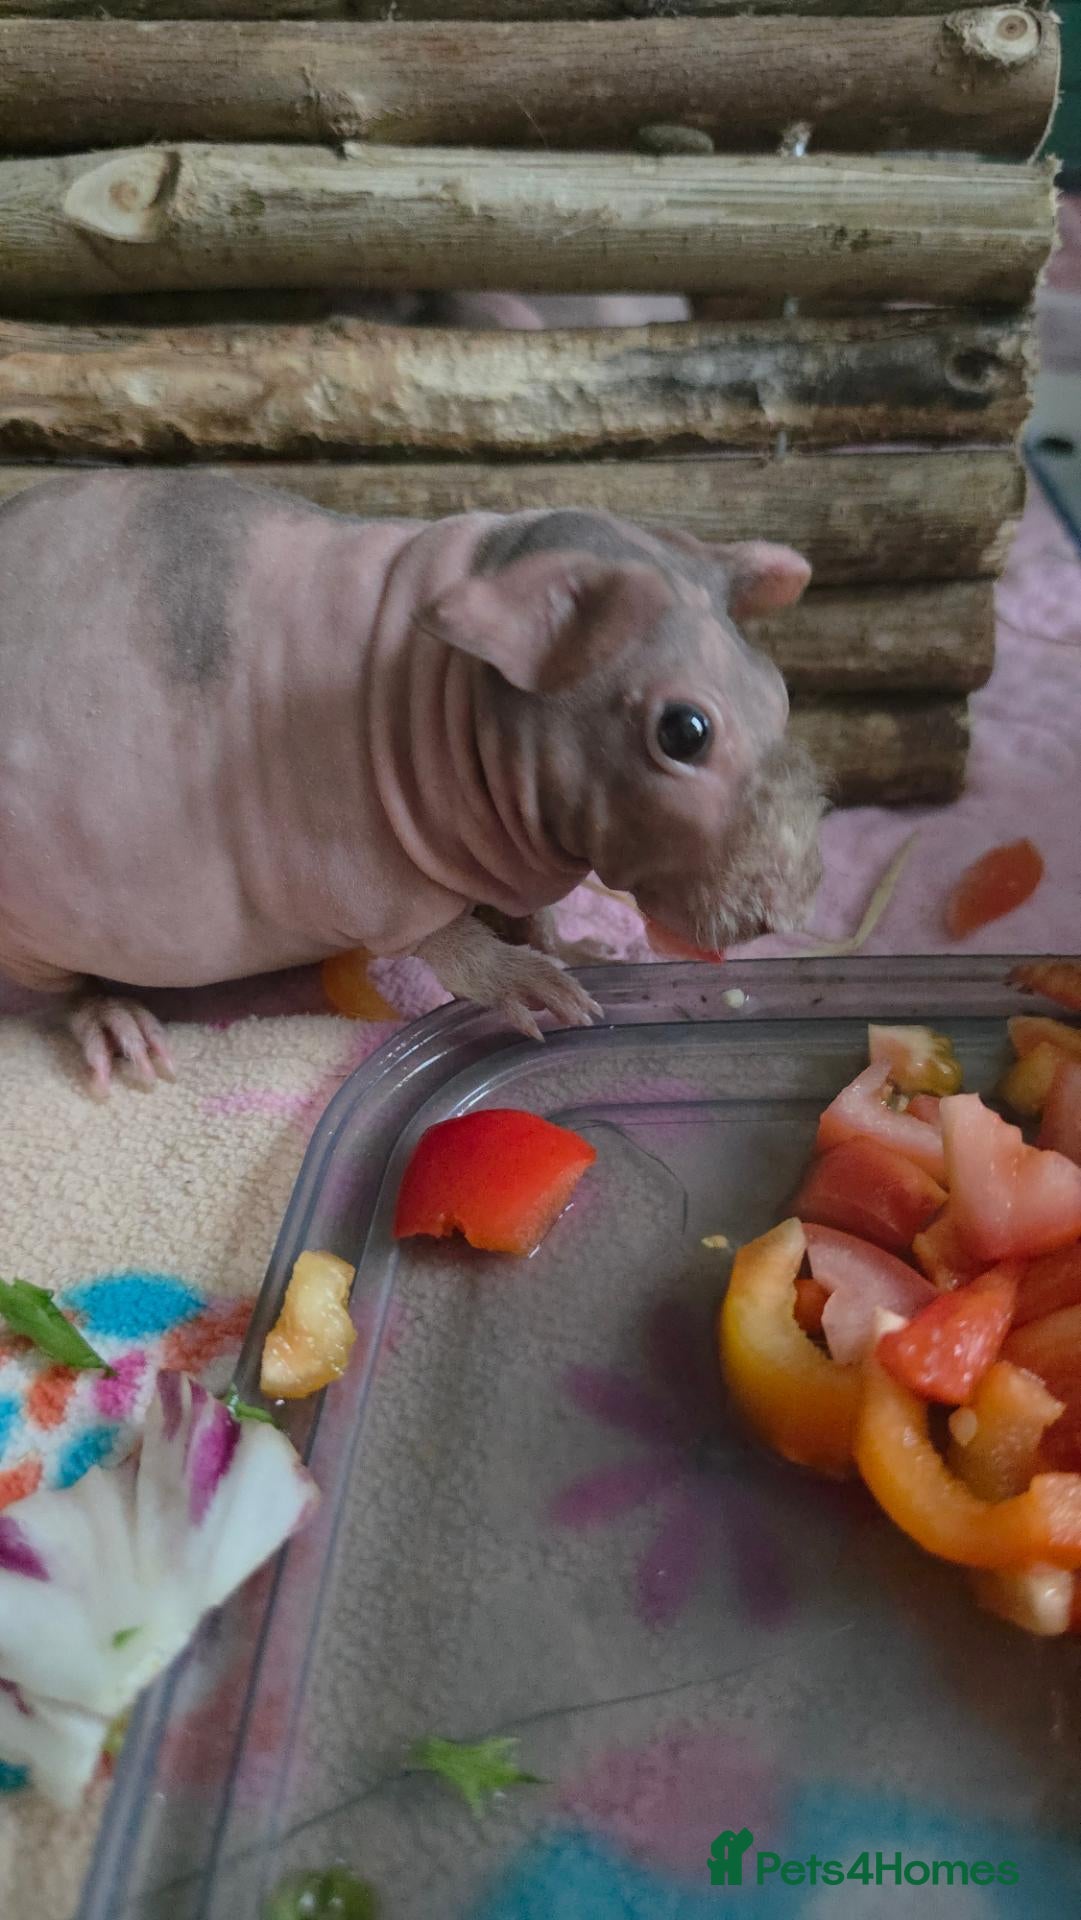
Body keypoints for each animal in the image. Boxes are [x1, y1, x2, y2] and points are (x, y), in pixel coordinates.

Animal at [0, 473, 823, 1096]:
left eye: (778, 693)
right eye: (684, 732)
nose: (783, 913)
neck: (440, 680)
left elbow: (526, 914)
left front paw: (577, 948)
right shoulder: (362, 871)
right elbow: (442, 940)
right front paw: (522, 976)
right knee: (61, 991)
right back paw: (111, 1017)